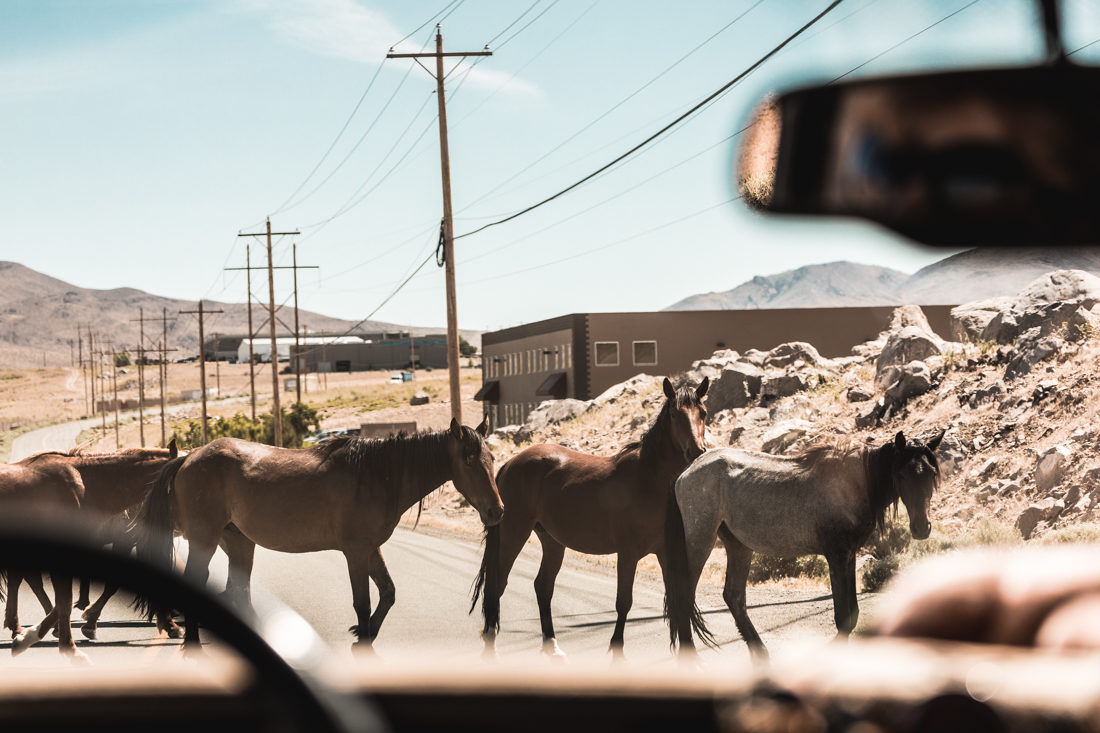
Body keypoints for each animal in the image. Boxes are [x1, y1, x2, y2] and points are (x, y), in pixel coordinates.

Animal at [132, 413, 503, 647]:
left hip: (237, 543)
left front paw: (364, 634)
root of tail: (188, 458)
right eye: (469, 460)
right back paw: (193, 642)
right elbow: (363, 603)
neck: (376, 477)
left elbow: (388, 593)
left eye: (492, 458)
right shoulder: (355, 552)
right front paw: (363, 638)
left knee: (240, 591)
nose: (497, 511)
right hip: (205, 540)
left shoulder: (370, 549)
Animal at [468, 376, 708, 655]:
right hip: (513, 534)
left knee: (543, 586)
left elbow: (679, 598)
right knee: (498, 584)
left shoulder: (666, 553)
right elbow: (624, 601)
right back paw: (490, 639)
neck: (649, 480)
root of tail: (511, 464)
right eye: (674, 414)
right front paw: (616, 648)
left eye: (702, 413)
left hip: (552, 541)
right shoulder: (628, 554)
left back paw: (551, 642)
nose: (696, 451)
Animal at [660, 429, 946, 655]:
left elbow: (852, 614)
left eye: (931, 473)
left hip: (738, 545)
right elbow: (843, 617)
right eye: (902, 475)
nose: (922, 528)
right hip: (700, 540)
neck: (856, 482)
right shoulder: (836, 555)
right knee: (684, 595)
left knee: (733, 596)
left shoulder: (849, 555)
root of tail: (685, 473)